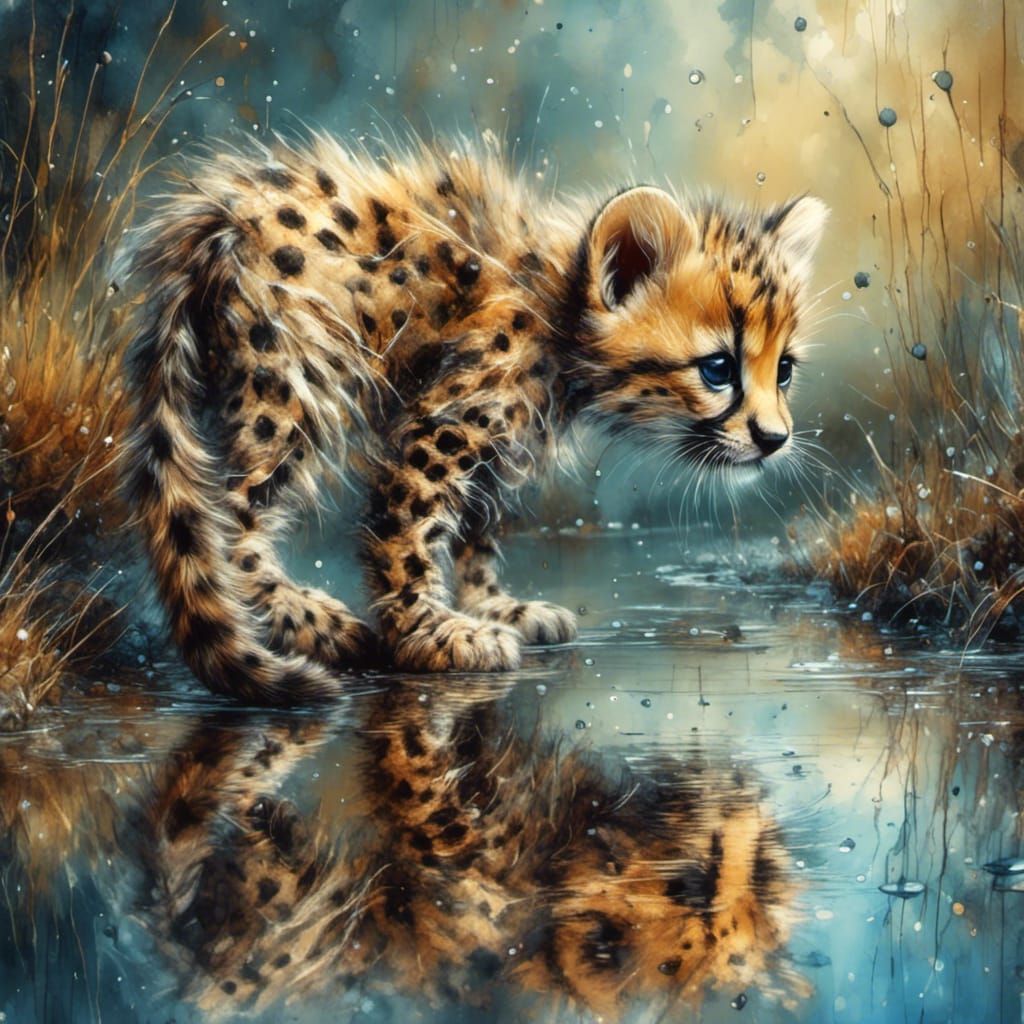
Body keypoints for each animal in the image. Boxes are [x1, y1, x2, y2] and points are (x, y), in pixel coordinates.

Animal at [123, 134, 828, 702]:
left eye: (785, 371)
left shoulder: (493, 442)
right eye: (718, 368)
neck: (560, 311)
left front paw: (494, 606)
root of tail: (222, 211)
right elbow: (409, 531)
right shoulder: (441, 426)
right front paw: (429, 633)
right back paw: (309, 618)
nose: (774, 439)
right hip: (294, 383)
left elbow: (475, 527)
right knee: (230, 508)